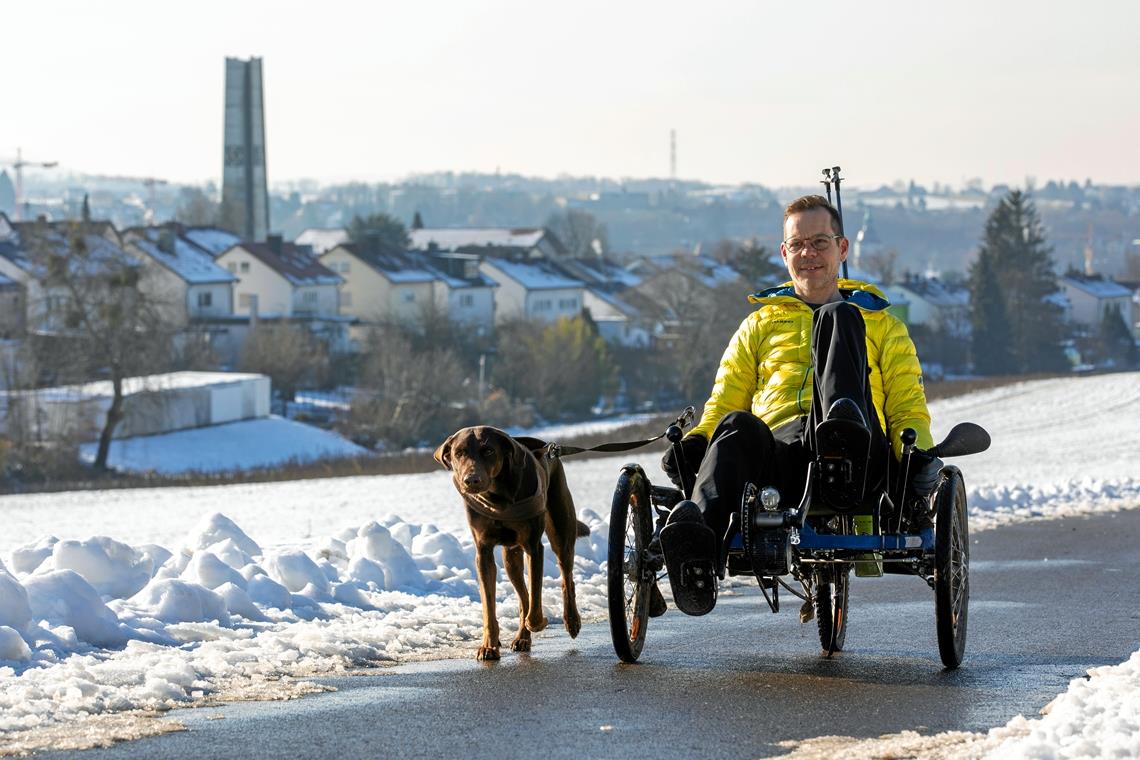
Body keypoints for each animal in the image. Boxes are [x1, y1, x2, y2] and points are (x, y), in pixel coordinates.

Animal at [433, 426, 588, 660]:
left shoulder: (533, 546)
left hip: (561, 528)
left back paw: (571, 620)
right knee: (523, 596)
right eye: (458, 453)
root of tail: (547, 448)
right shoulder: (483, 551)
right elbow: (489, 605)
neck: (496, 496)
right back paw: (522, 637)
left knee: (565, 577)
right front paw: (489, 645)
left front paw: (539, 622)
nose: (471, 480)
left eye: (488, 450)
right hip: (511, 556)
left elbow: (536, 597)